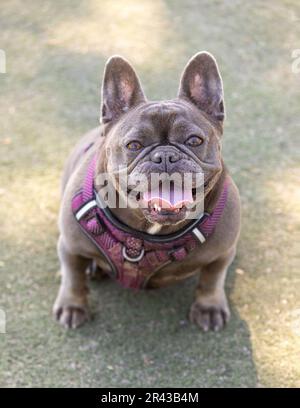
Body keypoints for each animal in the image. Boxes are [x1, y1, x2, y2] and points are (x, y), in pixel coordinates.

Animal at [53, 51, 241, 332]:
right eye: (134, 145)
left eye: (194, 141)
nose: (165, 156)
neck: (147, 236)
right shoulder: (70, 247)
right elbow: (72, 276)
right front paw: (72, 305)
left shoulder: (222, 253)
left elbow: (212, 278)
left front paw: (209, 307)